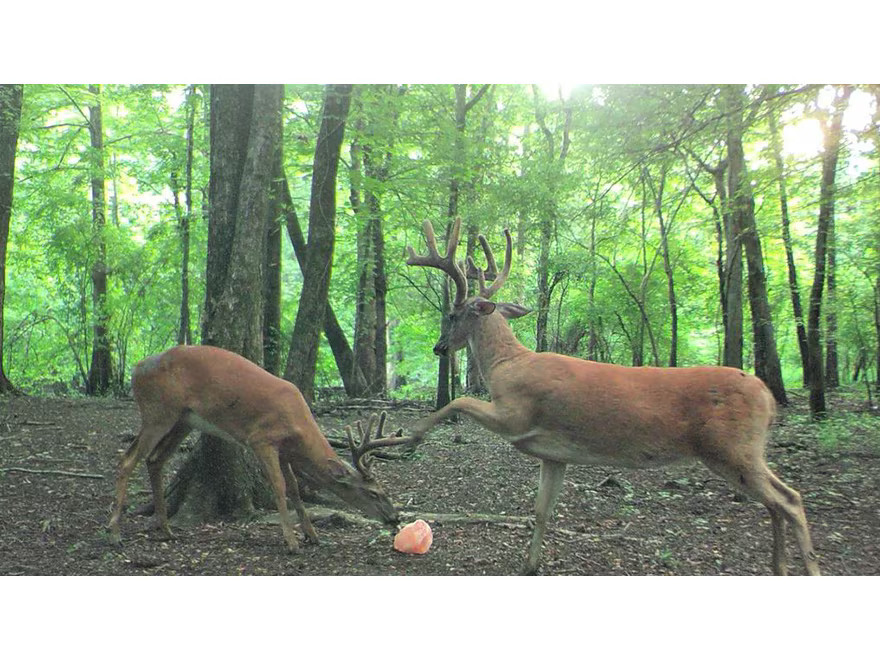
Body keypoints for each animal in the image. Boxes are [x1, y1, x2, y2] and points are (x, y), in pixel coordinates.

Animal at [107, 344, 411, 553]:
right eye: (374, 493)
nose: (394, 517)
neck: (298, 427)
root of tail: (136, 368)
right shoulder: (262, 439)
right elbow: (279, 486)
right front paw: (291, 541)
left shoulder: (285, 451)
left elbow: (296, 491)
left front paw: (312, 535)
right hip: (158, 412)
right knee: (127, 460)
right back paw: (115, 532)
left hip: (183, 421)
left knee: (154, 460)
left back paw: (167, 529)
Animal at [405, 217, 821, 575]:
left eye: (452, 314)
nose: (439, 348)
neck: (507, 365)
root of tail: (769, 397)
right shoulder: (554, 454)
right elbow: (542, 510)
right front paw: (530, 565)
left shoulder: (515, 414)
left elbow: (458, 402)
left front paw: (411, 435)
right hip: (744, 452)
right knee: (778, 502)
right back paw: (780, 566)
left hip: (730, 449)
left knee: (790, 500)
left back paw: (809, 568)